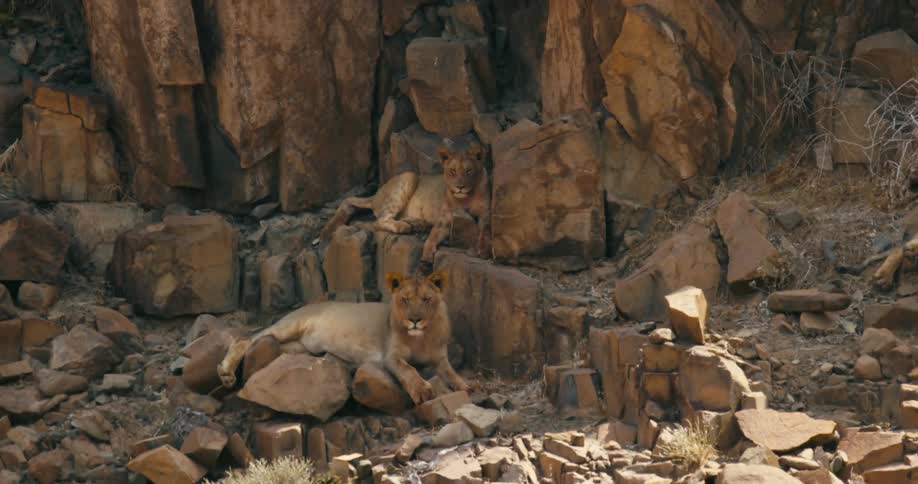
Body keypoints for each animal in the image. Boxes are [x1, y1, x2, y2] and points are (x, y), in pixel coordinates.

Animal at [217, 270, 468, 405]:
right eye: (405, 299)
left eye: (426, 299)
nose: (414, 320)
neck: (421, 337)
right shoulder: (391, 356)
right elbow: (409, 370)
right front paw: (423, 391)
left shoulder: (440, 358)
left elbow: (451, 373)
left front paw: (465, 386)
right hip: (289, 325)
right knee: (244, 339)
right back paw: (226, 373)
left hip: (297, 347)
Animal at [319, 144, 491, 263]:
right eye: (453, 171)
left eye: (469, 171)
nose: (460, 187)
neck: (467, 197)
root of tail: (378, 194)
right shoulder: (445, 216)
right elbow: (434, 235)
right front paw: (426, 255)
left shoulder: (485, 214)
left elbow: (485, 231)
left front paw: (483, 251)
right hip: (409, 176)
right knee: (379, 221)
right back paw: (404, 226)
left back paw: (417, 224)